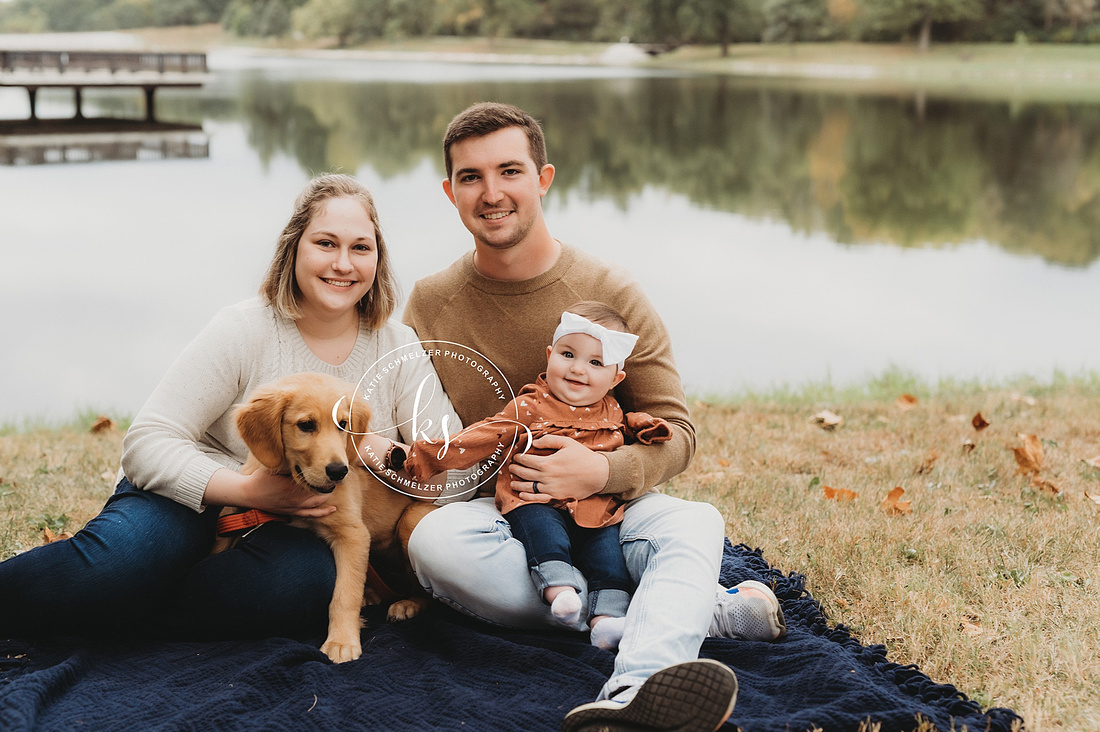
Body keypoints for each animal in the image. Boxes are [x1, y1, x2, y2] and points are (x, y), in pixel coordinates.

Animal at [212, 372, 435, 660]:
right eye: (306, 425)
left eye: (343, 424)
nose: (339, 471)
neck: (297, 484)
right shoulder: (236, 511)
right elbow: (217, 546)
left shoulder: (353, 535)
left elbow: (344, 594)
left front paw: (341, 641)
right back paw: (373, 594)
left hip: (412, 519)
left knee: (425, 591)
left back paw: (406, 604)